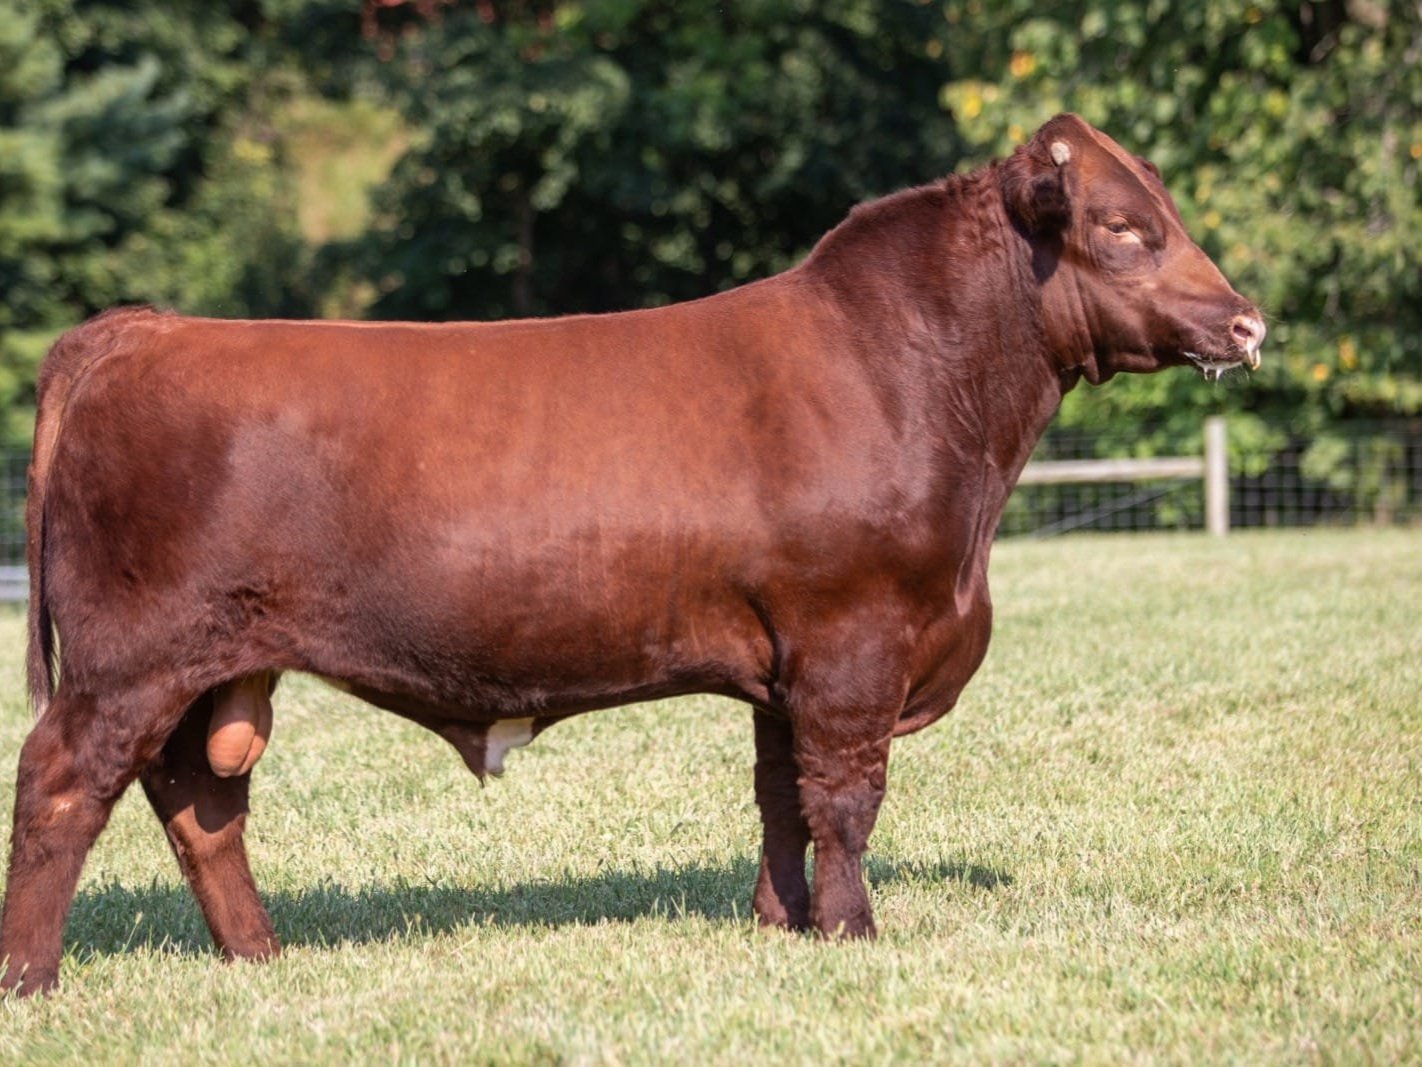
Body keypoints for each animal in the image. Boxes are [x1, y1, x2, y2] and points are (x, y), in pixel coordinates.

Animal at [0, 115, 1264, 994]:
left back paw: (259, 958)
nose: (1247, 319)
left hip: (210, 664)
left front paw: (783, 923)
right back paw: (34, 978)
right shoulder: (854, 642)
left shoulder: (787, 659)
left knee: (201, 802)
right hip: (130, 655)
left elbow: (780, 797)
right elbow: (846, 799)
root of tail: (138, 327)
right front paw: (855, 933)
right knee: (62, 784)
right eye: (1124, 228)